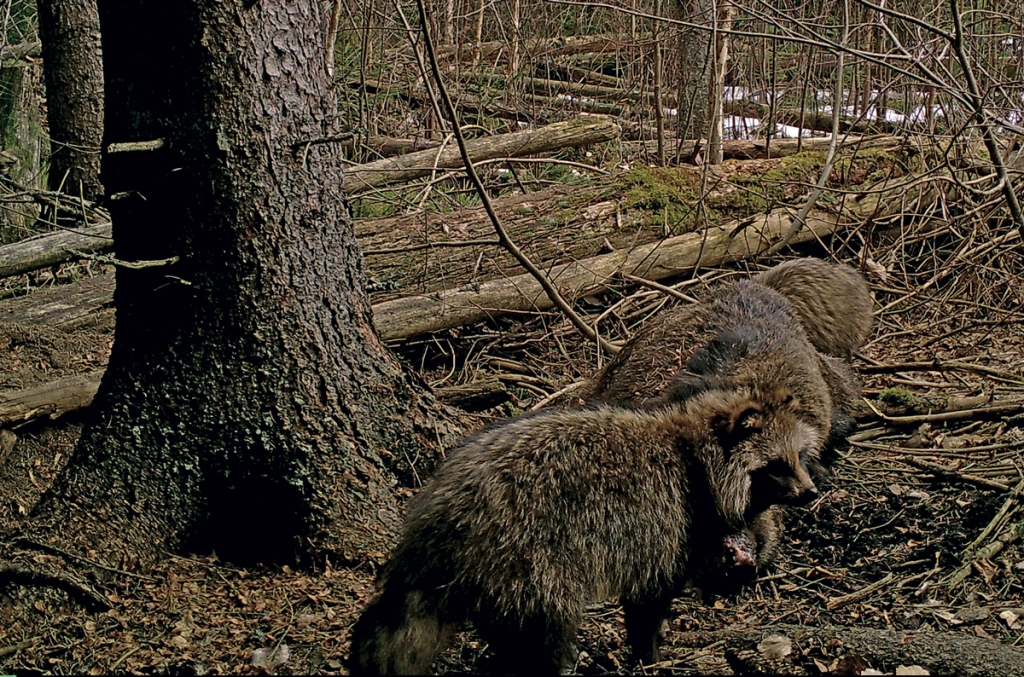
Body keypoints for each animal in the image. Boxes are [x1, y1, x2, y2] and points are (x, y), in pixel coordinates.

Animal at [352, 331, 831, 671]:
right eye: (776, 466)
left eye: (800, 458)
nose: (810, 492)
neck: (694, 451)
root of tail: (442, 509)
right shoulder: (666, 519)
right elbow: (647, 600)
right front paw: (649, 656)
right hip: (526, 552)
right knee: (545, 623)